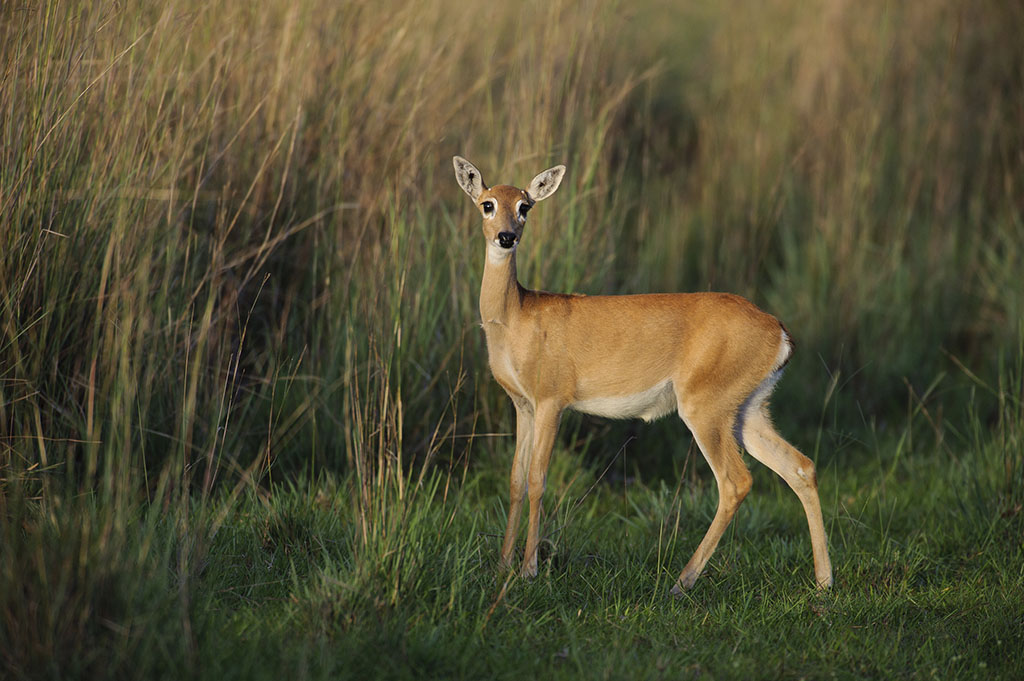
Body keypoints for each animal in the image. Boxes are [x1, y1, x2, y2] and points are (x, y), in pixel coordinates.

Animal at [456, 156, 831, 593]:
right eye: (487, 203)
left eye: (525, 206)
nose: (506, 237)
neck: (517, 316)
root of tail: (781, 333)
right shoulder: (523, 405)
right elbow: (515, 479)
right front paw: (502, 566)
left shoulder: (552, 399)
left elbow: (538, 479)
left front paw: (529, 570)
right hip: (748, 408)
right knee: (800, 466)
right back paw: (824, 581)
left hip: (705, 406)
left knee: (736, 481)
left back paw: (681, 582)